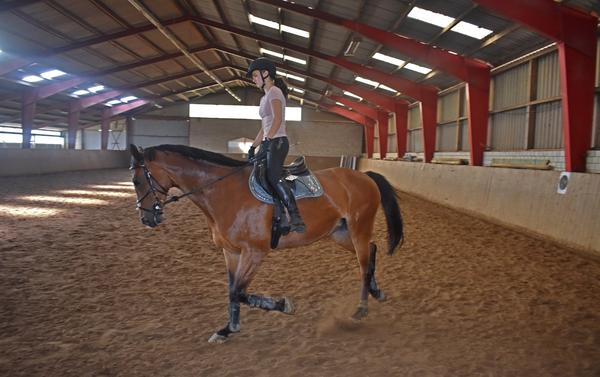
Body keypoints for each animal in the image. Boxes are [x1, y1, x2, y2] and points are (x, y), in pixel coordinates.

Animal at [130, 142, 404, 342]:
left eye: (136, 180)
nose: (147, 218)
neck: (224, 193)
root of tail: (364, 176)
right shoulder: (231, 252)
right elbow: (232, 291)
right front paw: (228, 329)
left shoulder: (254, 253)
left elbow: (239, 291)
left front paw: (283, 305)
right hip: (339, 233)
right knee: (371, 251)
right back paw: (376, 292)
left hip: (359, 228)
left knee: (364, 263)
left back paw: (360, 310)